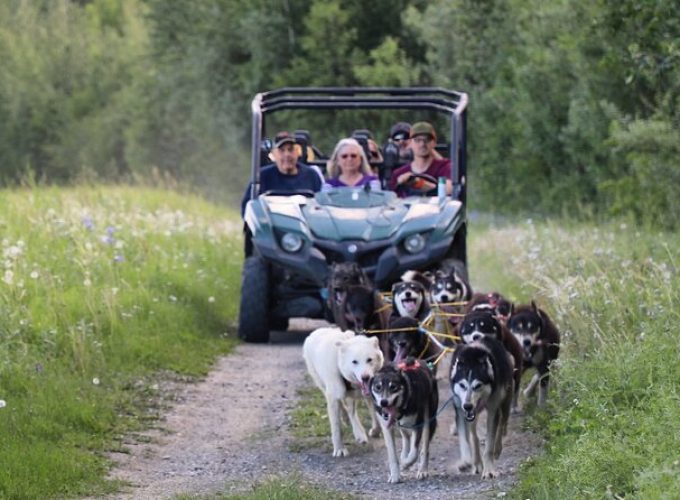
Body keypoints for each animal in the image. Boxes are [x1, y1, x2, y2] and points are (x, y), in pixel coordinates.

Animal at [302, 328, 382, 458]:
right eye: (354, 362)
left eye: (369, 359)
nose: (365, 377)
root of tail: (317, 331)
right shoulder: (333, 398)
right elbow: (336, 427)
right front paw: (339, 449)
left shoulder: (370, 395)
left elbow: (374, 415)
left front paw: (375, 431)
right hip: (325, 387)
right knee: (345, 408)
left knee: (351, 411)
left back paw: (358, 432)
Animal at [448, 338, 512, 478]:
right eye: (462, 385)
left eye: (477, 386)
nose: (467, 406)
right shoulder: (460, 411)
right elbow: (465, 439)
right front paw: (466, 461)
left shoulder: (493, 410)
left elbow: (489, 445)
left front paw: (489, 470)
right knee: (474, 435)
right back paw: (476, 462)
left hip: (505, 401)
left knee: (502, 423)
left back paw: (497, 448)